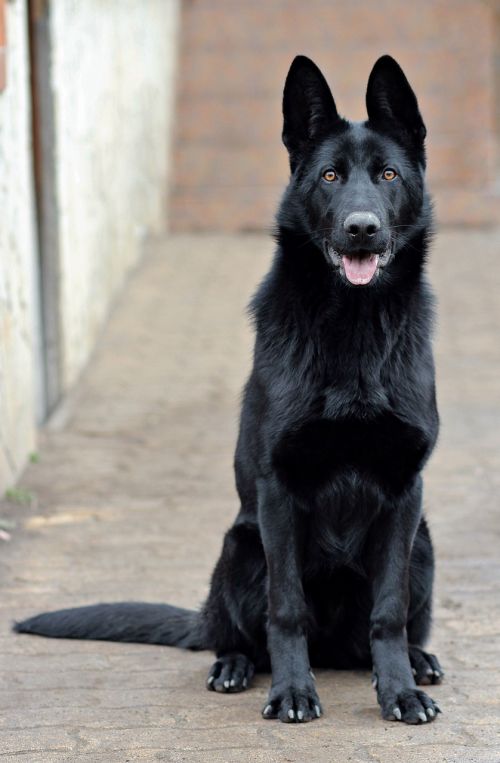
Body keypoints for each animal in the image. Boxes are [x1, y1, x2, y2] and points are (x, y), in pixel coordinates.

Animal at [16, 55, 446, 728]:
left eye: (388, 174)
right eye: (329, 175)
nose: (362, 229)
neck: (352, 328)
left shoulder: (406, 493)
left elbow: (390, 613)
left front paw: (399, 691)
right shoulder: (276, 492)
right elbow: (286, 609)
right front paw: (293, 692)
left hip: (422, 543)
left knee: (384, 632)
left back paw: (417, 661)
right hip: (240, 547)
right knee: (239, 633)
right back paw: (235, 666)